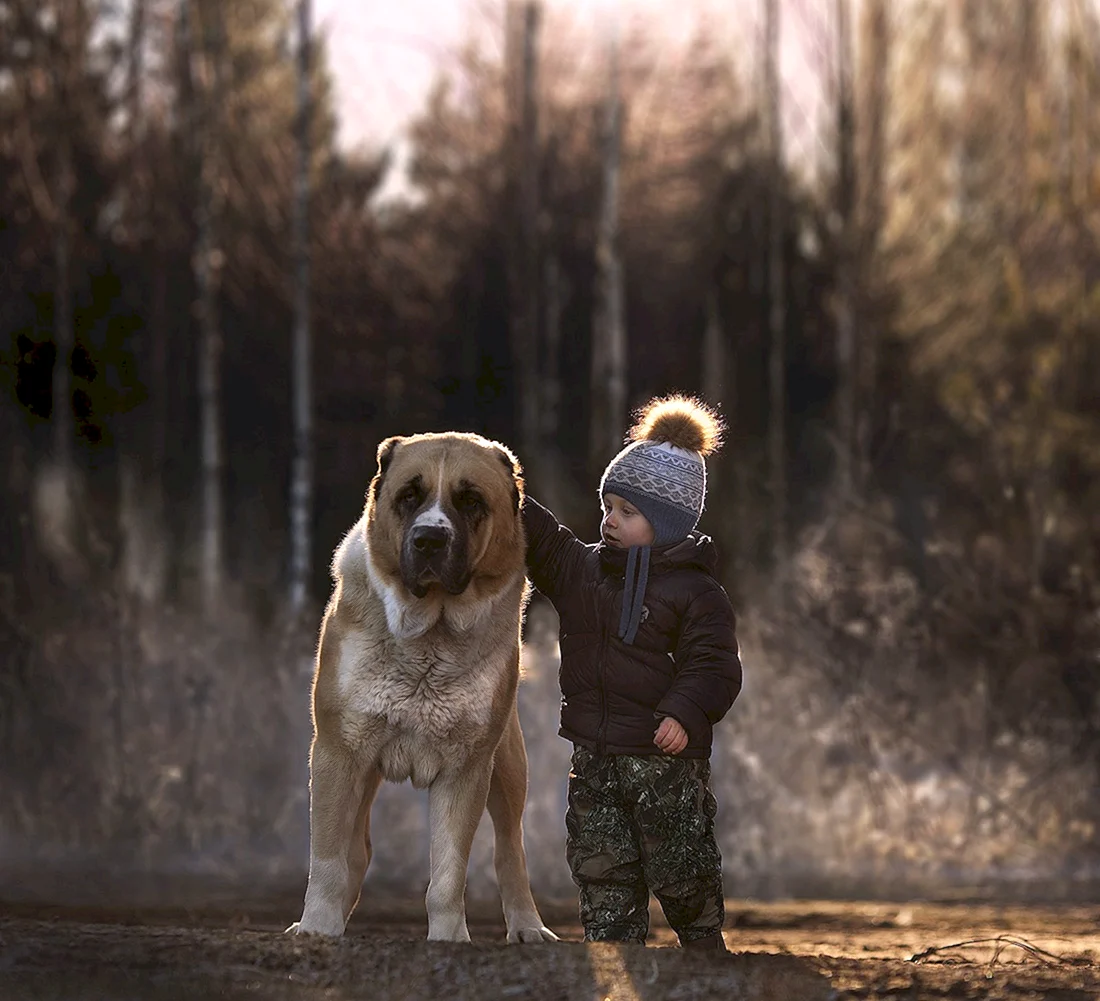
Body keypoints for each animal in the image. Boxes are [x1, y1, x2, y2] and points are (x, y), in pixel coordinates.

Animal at [288, 433, 554, 950]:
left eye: (470, 501)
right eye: (409, 496)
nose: (430, 538)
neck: (430, 636)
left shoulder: (467, 767)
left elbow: (449, 871)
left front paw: (449, 937)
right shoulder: (336, 752)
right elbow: (327, 857)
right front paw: (317, 927)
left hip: (508, 765)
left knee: (510, 849)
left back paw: (528, 926)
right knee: (355, 849)